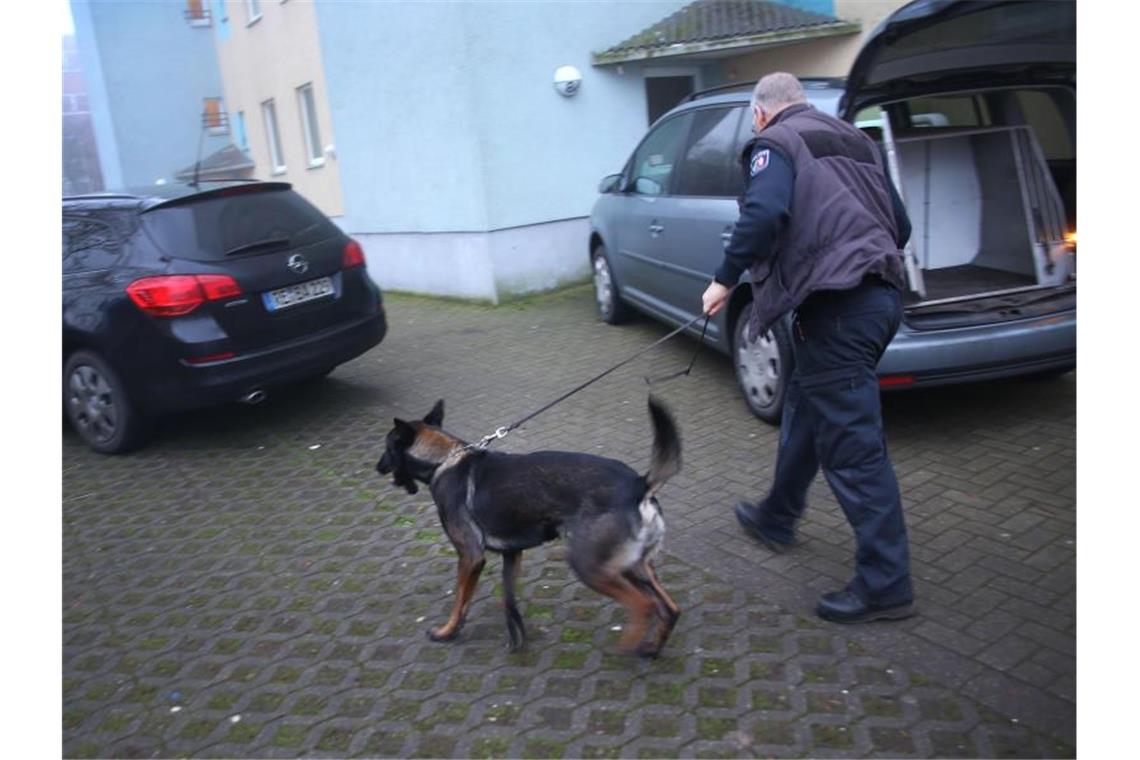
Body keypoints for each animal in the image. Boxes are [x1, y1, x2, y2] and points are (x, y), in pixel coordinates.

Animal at [373, 398, 679, 656]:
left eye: (387, 448)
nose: (377, 467)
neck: (444, 458)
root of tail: (639, 485)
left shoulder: (470, 556)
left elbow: (461, 599)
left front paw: (447, 631)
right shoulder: (511, 554)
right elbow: (508, 601)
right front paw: (516, 639)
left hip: (591, 566)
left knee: (645, 605)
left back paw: (628, 645)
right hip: (635, 567)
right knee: (670, 609)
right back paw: (651, 648)